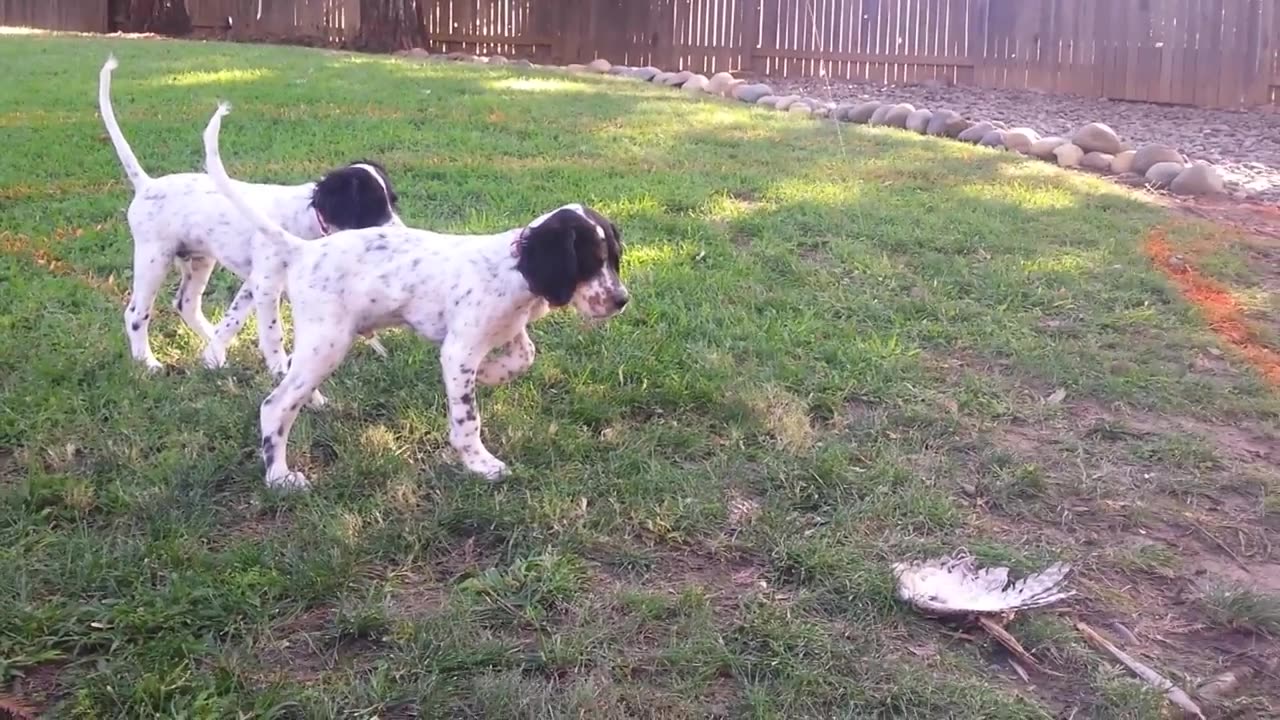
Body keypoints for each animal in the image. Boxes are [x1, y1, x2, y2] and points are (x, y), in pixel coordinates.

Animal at [98, 53, 399, 371]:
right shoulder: (266, 284)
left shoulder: (254, 283)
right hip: (154, 258)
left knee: (186, 304)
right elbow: (273, 331)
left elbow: (233, 318)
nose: (403, 235)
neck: (304, 222)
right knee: (136, 314)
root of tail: (147, 184)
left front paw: (215, 353)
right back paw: (147, 361)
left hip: (200, 260)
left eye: (393, 202)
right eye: (370, 209)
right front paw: (278, 367)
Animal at [199, 101, 629, 486]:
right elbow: (468, 418)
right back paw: (280, 477)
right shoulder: (459, 350)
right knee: (275, 406)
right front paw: (480, 463)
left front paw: (489, 374)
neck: (513, 270)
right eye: (590, 261)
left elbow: (525, 355)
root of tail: (306, 250)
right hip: (327, 343)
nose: (621, 300)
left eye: (614, 259)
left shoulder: (505, 331)